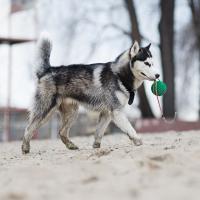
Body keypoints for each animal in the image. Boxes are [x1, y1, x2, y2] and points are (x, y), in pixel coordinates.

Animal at [21, 34, 159, 154]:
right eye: (147, 63)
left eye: (153, 64)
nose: (158, 75)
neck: (119, 75)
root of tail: (47, 70)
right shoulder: (117, 112)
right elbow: (130, 128)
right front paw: (138, 140)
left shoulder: (107, 113)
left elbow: (99, 132)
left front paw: (96, 147)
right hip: (46, 110)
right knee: (29, 128)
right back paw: (25, 148)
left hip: (72, 113)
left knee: (61, 132)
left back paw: (71, 145)